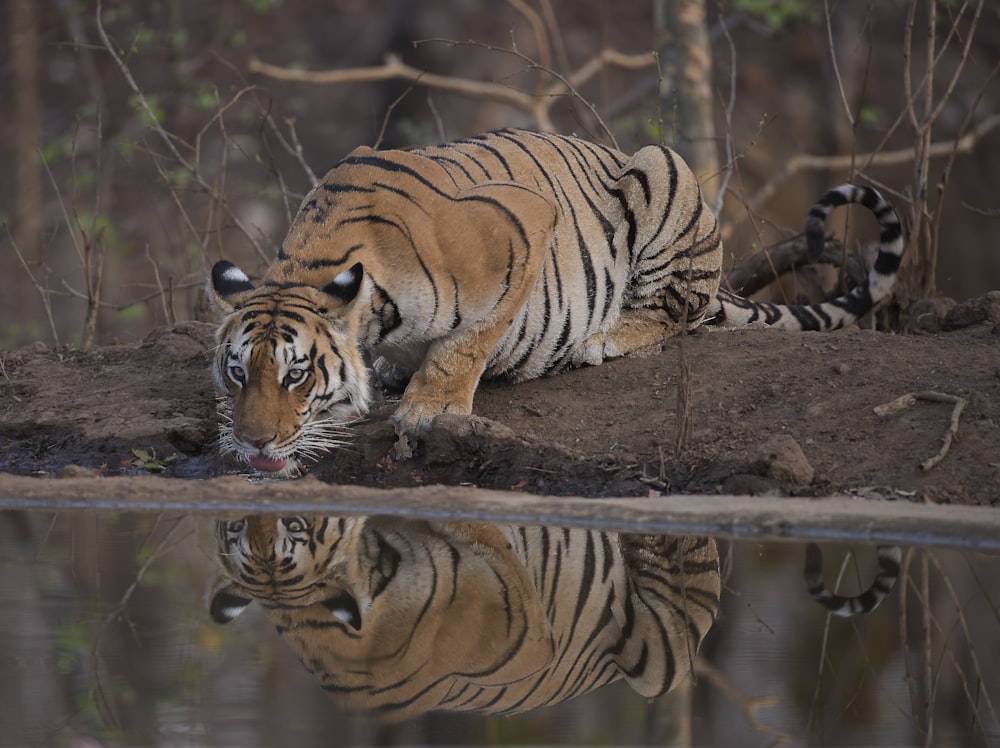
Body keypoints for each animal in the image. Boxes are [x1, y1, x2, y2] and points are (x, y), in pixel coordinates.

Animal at [211, 125, 908, 470]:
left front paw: (428, 408)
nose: (253, 444)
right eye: (236, 372)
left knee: (677, 312)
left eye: (297, 374)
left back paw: (604, 338)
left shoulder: (522, 223)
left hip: (662, 168)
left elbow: (467, 343)